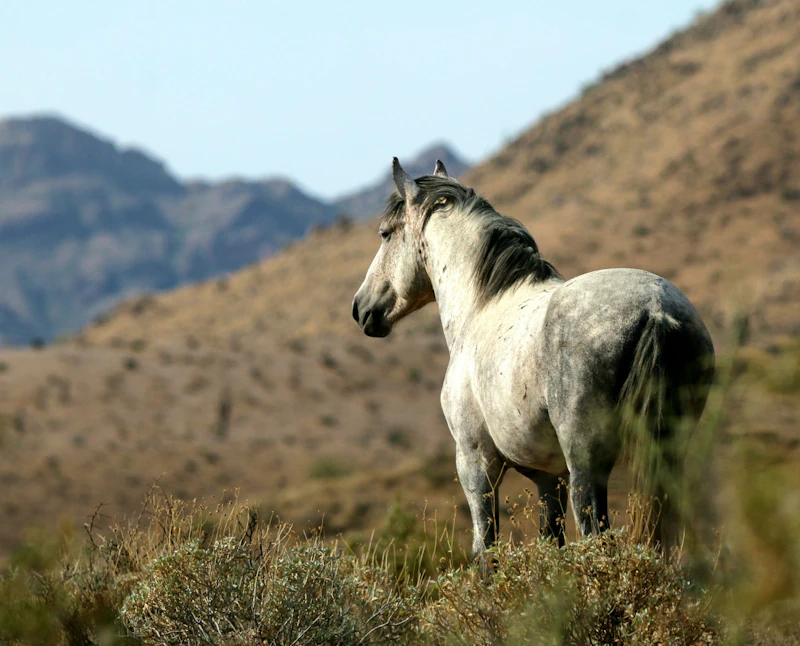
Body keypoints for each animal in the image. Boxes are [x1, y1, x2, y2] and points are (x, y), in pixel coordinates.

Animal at [351, 158, 715, 570]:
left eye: (385, 234)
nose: (361, 308)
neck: (482, 306)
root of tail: (656, 308)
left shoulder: (476, 463)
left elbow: (485, 553)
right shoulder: (548, 478)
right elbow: (550, 544)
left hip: (585, 465)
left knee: (595, 534)